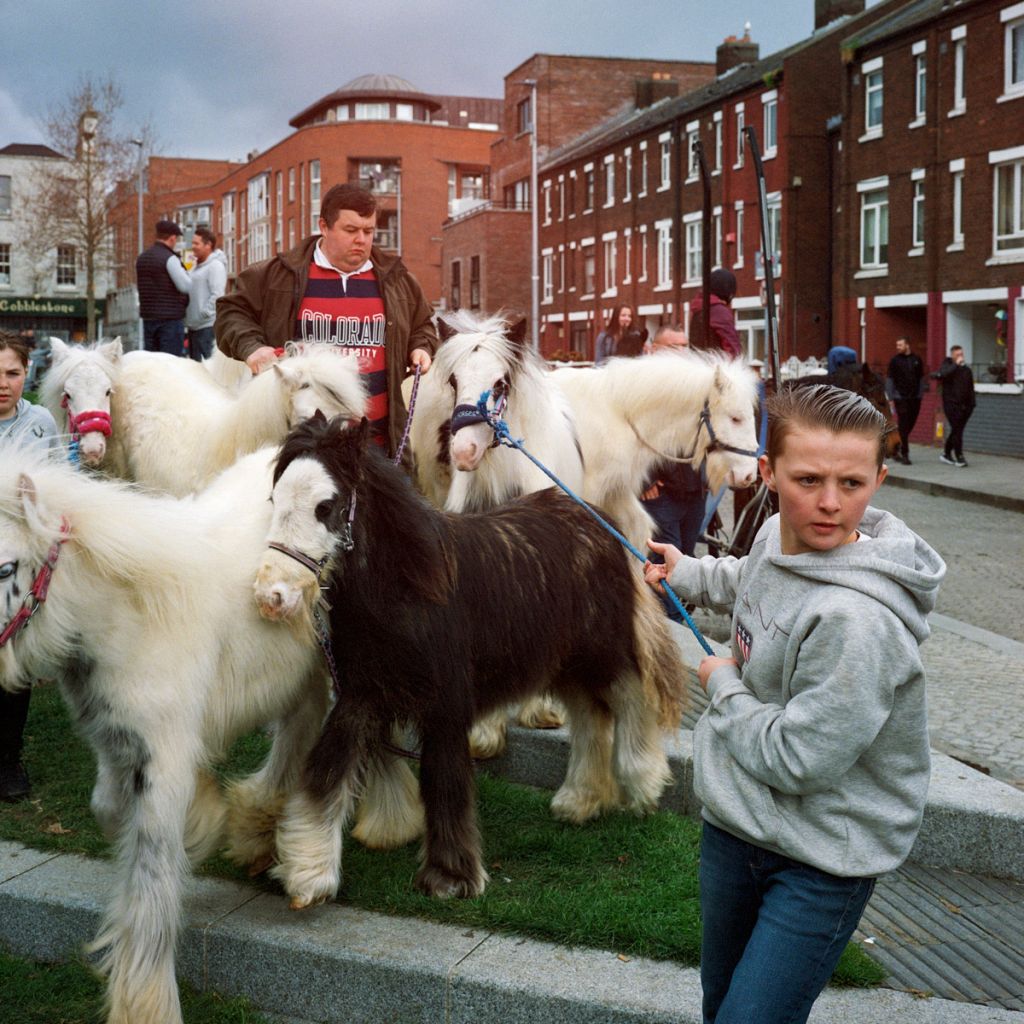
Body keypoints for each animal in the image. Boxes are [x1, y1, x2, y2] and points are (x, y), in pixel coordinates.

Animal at [0, 448, 419, 1024]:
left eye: (5, 567)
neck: (128, 616)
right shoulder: (115, 740)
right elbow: (110, 811)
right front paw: (206, 818)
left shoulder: (165, 755)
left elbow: (152, 870)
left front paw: (144, 1001)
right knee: (302, 722)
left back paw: (345, 849)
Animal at [254, 419, 688, 909]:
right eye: (274, 499)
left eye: (325, 506)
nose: (271, 597)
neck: (407, 587)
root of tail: (599, 521)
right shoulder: (363, 693)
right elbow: (328, 768)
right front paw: (308, 872)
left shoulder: (445, 703)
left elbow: (445, 782)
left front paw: (449, 877)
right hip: (563, 661)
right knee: (589, 715)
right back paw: (579, 801)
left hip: (603, 649)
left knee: (633, 697)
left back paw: (643, 785)